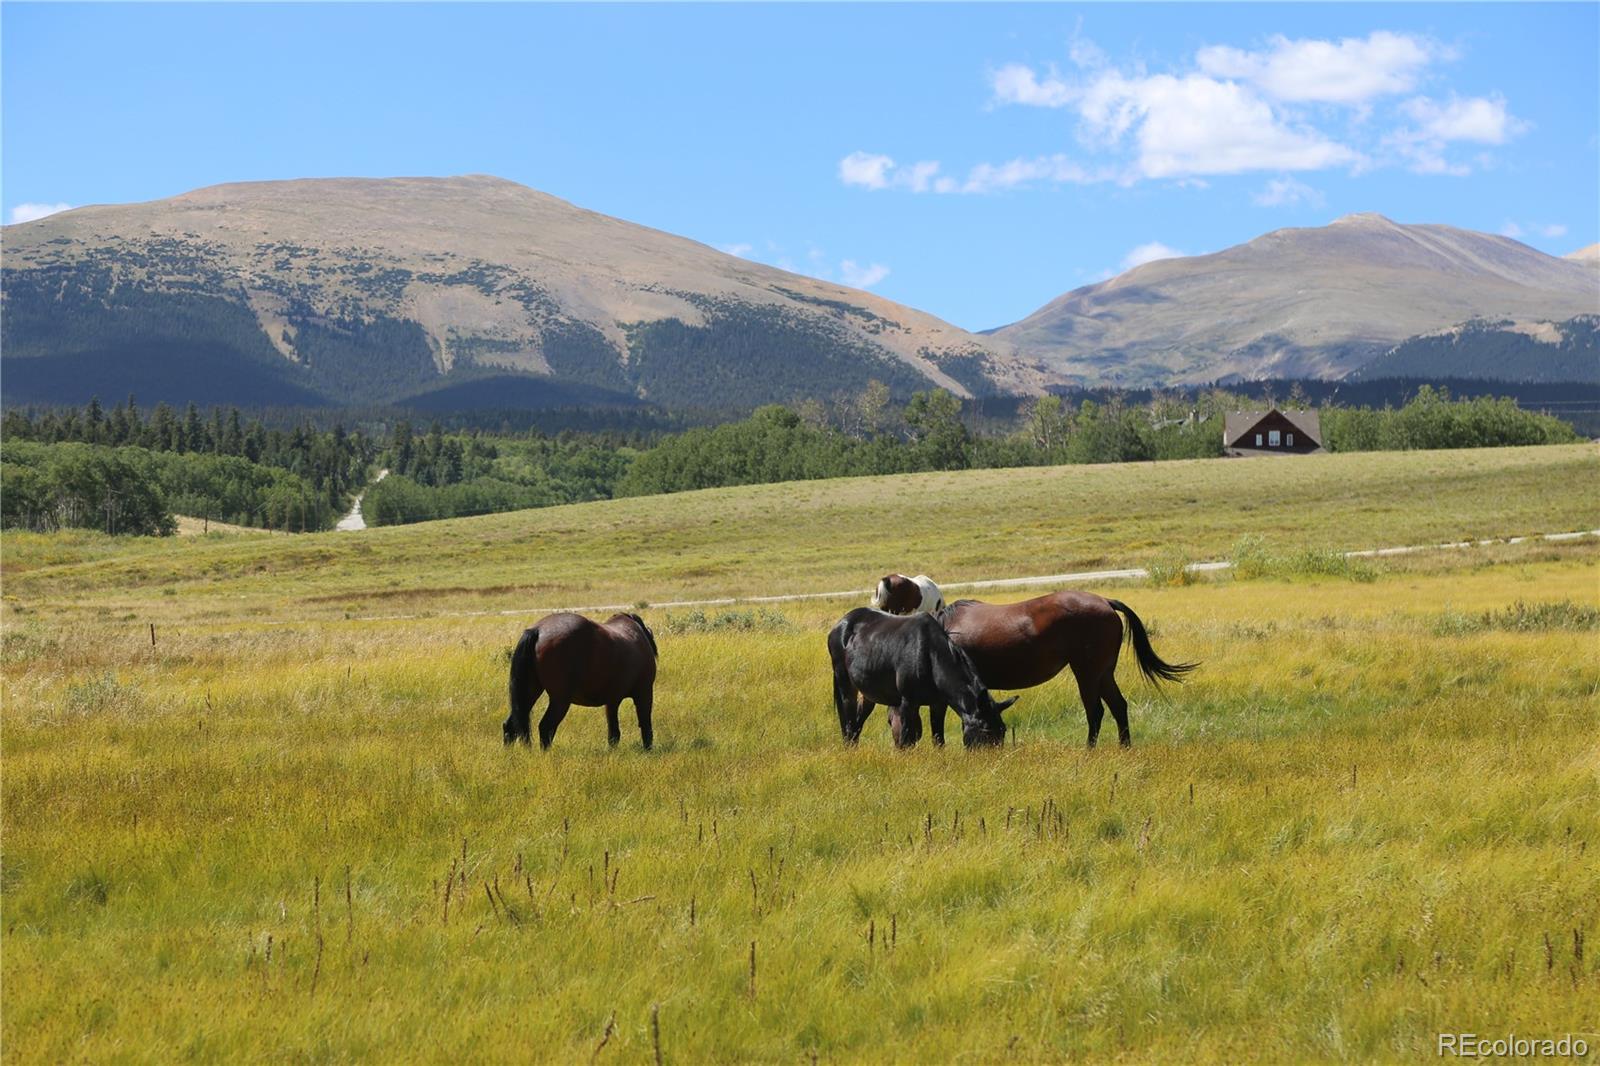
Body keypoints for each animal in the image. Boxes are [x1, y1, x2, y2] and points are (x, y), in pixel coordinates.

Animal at [496, 611, 652, 752]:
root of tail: (537, 630)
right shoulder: (644, 693)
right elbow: (645, 724)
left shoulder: (612, 700)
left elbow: (614, 732)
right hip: (560, 700)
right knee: (546, 727)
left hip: (530, 693)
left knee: (510, 725)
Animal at [825, 605, 1011, 745]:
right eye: (986, 730)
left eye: (1003, 731)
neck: (930, 656)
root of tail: (840, 624)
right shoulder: (908, 703)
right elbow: (906, 739)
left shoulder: (938, 704)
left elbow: (938, 738)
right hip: (845, 685)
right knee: (848, 721)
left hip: (868, 692)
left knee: (857, 722)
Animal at [940, 589, 1196, 745]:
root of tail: (1105, 601)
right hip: (1104, 674)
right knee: (1118, 707)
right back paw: (1125, 748)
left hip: (1087, 673)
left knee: (1095, 712)